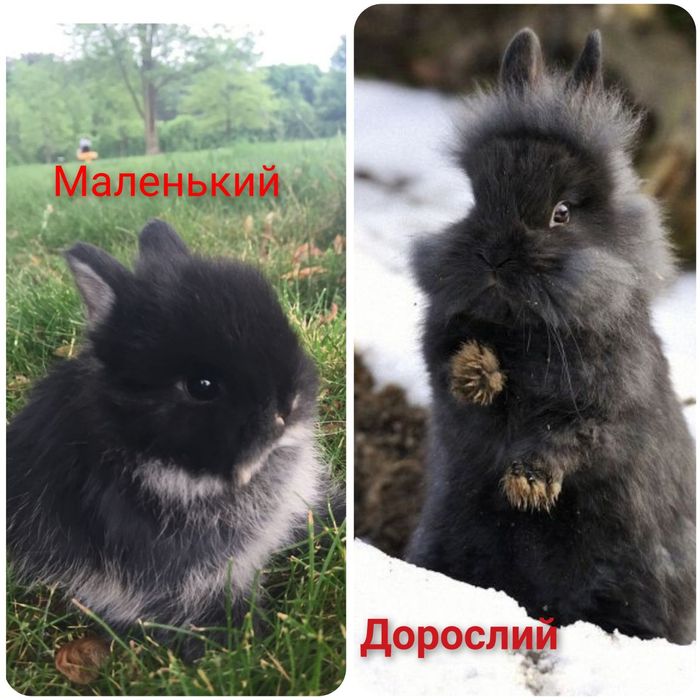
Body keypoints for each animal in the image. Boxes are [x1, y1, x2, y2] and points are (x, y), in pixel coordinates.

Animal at [406, 29, 695, 644]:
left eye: (561, 214)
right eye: (477, 199)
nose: (493, 257)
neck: (524, 329)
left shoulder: (605, 412)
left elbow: (568, 437)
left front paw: (529, 486)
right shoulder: (440, 346)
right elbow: (452, 369)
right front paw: (478, 372)